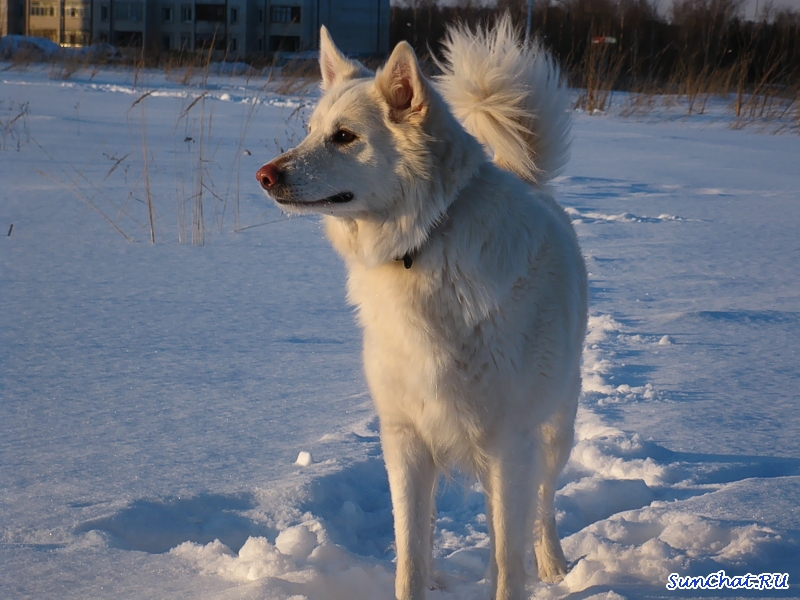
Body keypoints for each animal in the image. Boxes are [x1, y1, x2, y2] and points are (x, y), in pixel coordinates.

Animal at [256, 18, 588, 600]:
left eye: (345, 136)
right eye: (312, 130)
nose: (264, 175)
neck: (425, 241)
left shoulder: (510, 444)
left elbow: (508, 555)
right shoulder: (406, 438)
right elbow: (410, 550)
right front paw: (420, 580)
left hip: (554, 431)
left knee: (542, 507)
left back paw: (553, 567)